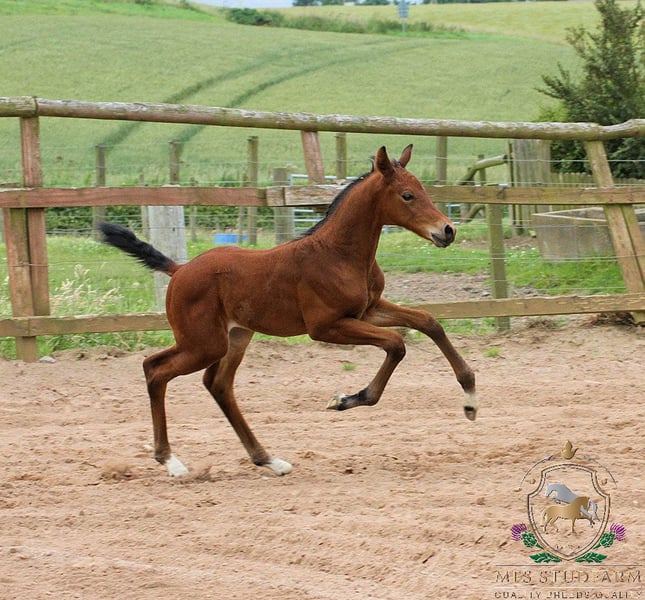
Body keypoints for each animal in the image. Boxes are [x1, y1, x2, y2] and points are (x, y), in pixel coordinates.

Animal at [99, 145, 478, 478]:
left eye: (422, 190)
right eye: (407, 195)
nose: (447, 231)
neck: (339, 253)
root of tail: (178, 271)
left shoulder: (369, 310)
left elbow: (429, 322)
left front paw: (470, 398)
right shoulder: (326, 326)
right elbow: (396, 344)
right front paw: (345, 399)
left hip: (236, 336)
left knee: (217, 384)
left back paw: (269, 460)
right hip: (204, 343)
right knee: (155, 369)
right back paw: (171, 462)